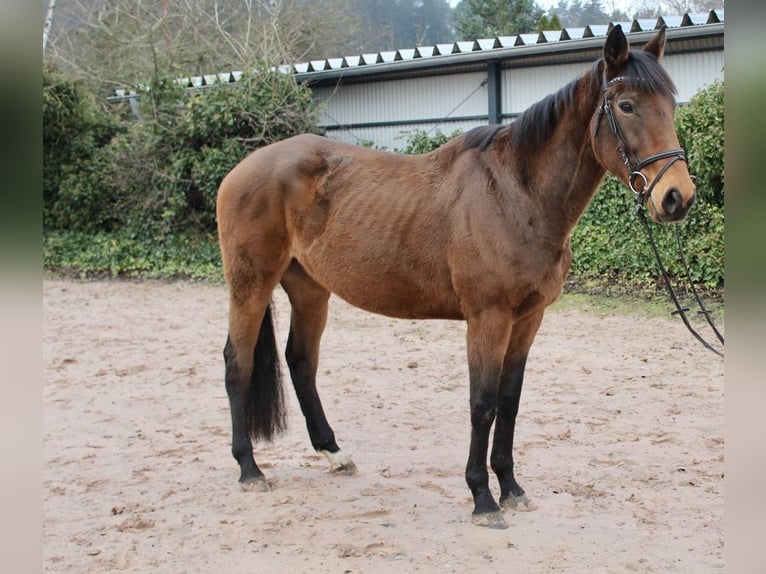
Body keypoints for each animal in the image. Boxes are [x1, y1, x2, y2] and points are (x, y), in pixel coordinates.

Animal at [214, 25, 696, 532]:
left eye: (670, 104)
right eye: (626, 105)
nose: (677, 197)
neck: (516, 194)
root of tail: (242, 169)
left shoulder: (528, 320)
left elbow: (509, 401)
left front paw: (511, 488)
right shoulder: (488, 318)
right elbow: (482, 404)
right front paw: (482, 498)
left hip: (310, 290)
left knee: (301, 362)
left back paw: (334, 454)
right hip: (250, 285)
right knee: (237, 364)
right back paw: (249, 468)